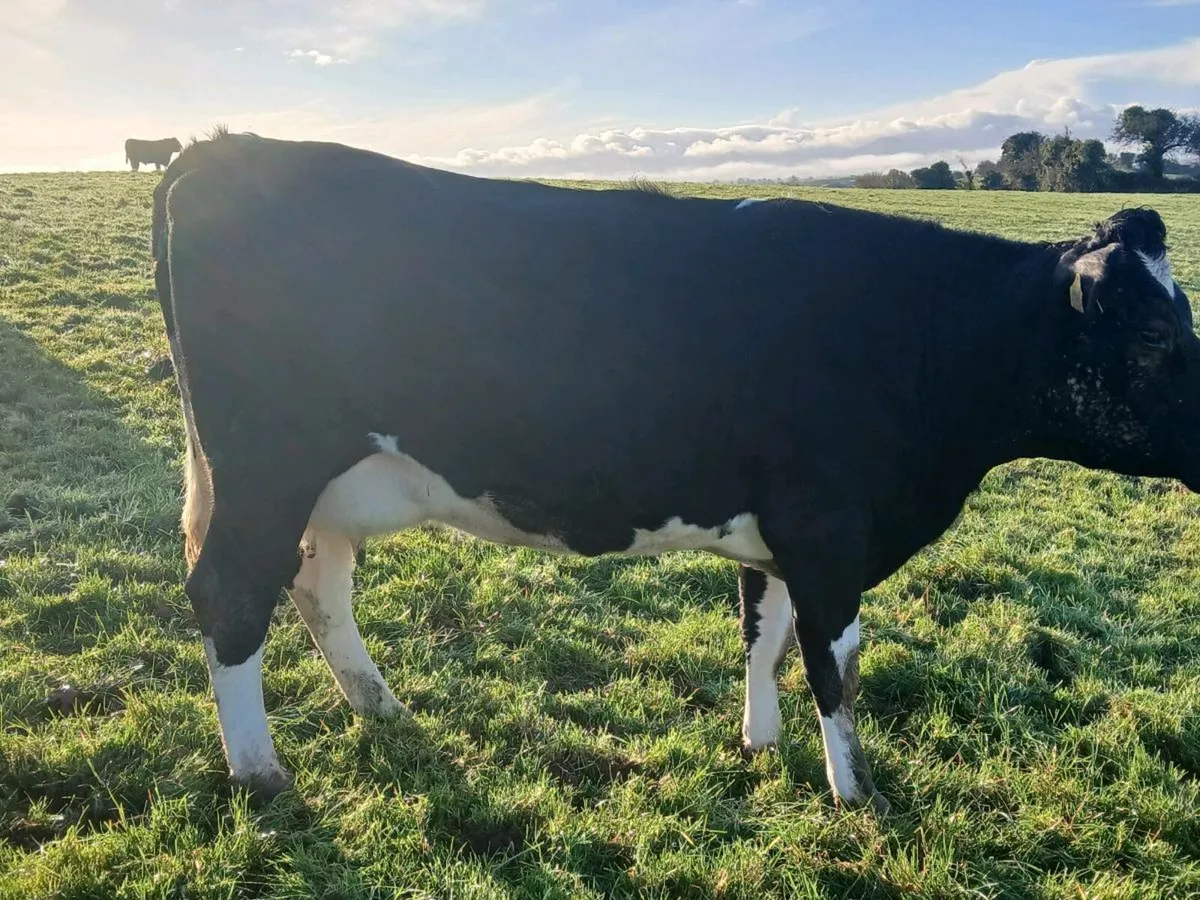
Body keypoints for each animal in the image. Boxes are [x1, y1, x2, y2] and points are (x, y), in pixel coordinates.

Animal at [151, 130, 1198, 812]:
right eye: (1153, 334)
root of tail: (225, 149)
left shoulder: (779, 532)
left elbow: (763, 636)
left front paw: (760, 746)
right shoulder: (829, 529)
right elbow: (835, 664)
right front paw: (856, 795)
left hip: (318, 487)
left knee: (315, 584)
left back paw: (383, 709)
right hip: (265, 465)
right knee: (231, 595)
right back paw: (260, 774)